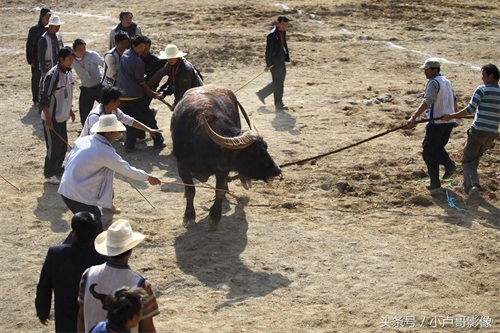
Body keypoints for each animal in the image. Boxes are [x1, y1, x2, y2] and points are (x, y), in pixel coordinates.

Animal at [171, 83, 282, 228]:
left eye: (265, 147)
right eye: (253, 152)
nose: (276, 170)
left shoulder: (222, 169)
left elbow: (219, 191)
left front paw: (214, 217)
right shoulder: (182, 167)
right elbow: (190, 192)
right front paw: (189, 217)